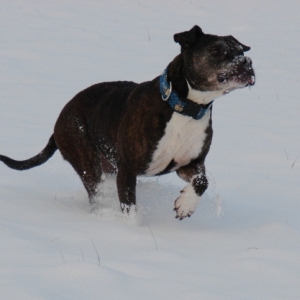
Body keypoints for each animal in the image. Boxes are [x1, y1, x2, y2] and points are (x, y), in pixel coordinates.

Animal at [0, 25, 254, 218]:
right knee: (96, 191)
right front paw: (133, 231)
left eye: (240, 50)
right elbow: (129, 207)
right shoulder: (128, 170)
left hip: (108, 166)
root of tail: (58, 123)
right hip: (86, 158)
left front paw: (185, 205)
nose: (247, 63)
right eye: (216, 50)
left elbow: (202, 182)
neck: (184, 108)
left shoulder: (190, 164)